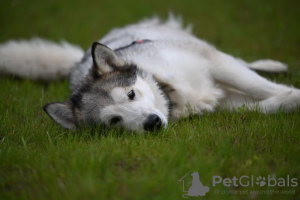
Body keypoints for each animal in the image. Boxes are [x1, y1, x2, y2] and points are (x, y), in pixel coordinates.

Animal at [0, 15, 300, 131]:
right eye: (114, 121)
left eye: (131, 94)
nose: (152, 123)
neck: (170, 92)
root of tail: (80, 60)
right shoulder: (222, 101)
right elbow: (262, 105)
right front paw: (289, 100)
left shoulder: (213, 62)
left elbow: (260, 87)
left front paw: (292, 91)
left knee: (244, 63)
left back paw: (274, 65)